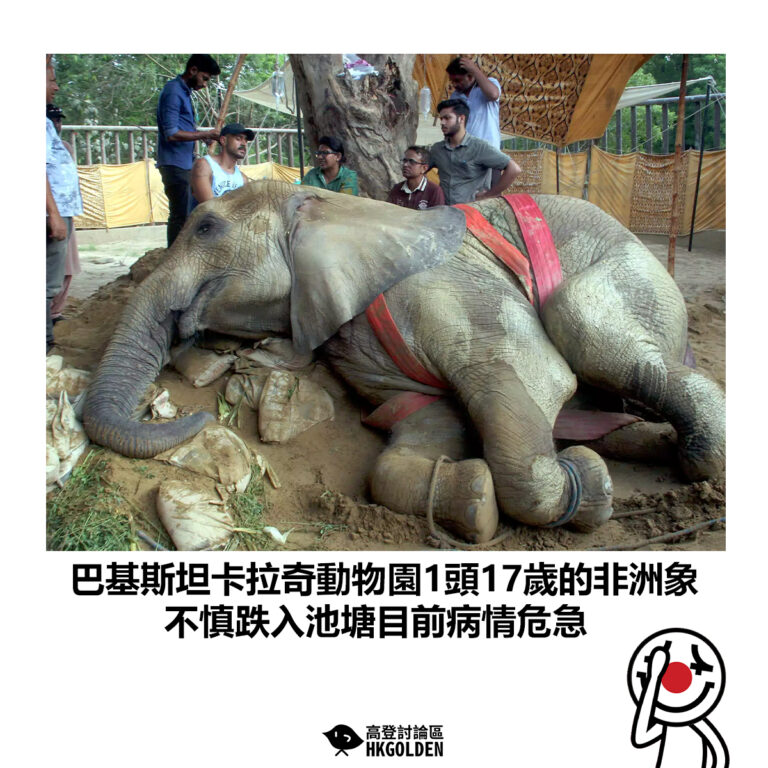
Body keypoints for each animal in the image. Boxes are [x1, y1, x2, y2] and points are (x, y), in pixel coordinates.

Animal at [83, 180, 725, 544]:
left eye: (208, 226)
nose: (188, 411)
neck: (336, 208)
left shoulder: (444, 287)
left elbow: (529, 376)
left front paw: (587, 485)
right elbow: (412, 434)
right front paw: (475, 504)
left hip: (630, 273)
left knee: (585, 330)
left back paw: (697, 461)